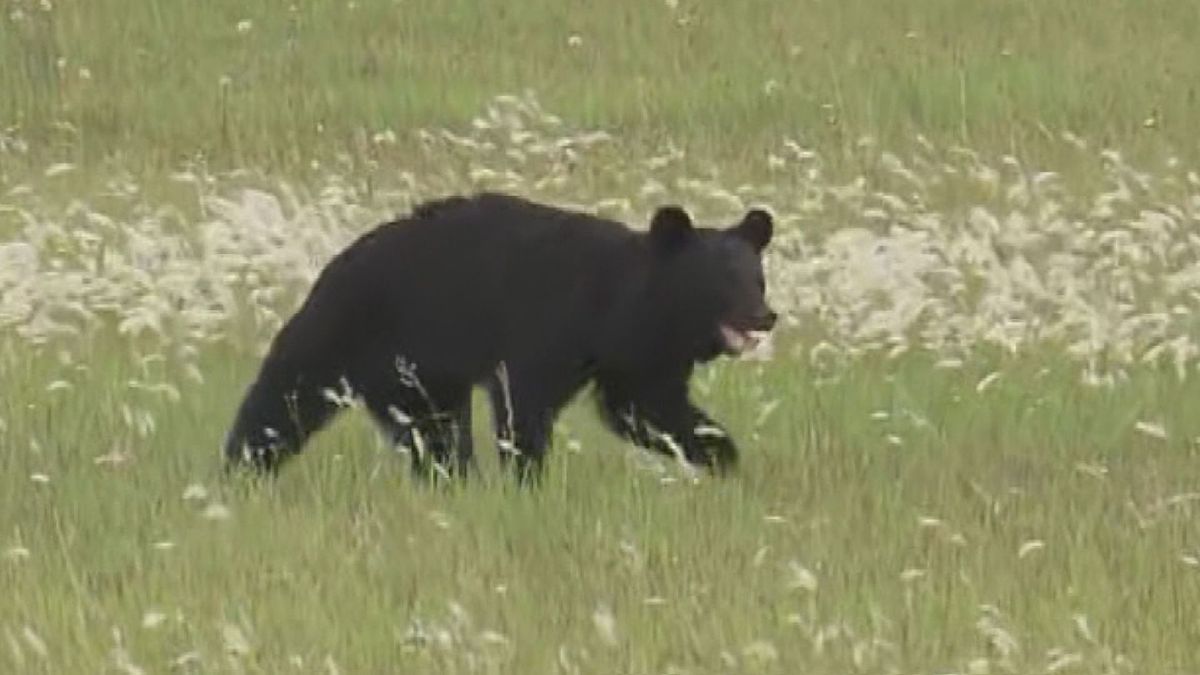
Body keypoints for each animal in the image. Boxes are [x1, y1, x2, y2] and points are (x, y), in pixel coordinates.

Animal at [223, 192, 776, 483]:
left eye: (758, 278)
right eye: (725, 280)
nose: (765, 316)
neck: (619, 307)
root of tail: (335, 262)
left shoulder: (641, 357)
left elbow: (647, 408)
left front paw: (721, 455)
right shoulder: (547, 324)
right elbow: (525, 401)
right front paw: (527, 475)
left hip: (417, 377)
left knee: (434, 432)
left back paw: (451, 479)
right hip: (351, 327)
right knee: (286, 394)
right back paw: (242, 467)